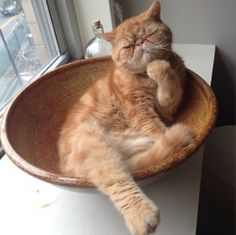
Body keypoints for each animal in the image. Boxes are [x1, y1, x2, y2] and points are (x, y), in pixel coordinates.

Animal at [58, 0, 195, 234]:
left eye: (149, 35)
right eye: (128, 47)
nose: (140, 44)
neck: (146, 79)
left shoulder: (167, 107)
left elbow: (170, 85)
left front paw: (160, 68)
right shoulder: (140, 113)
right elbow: (157, 130)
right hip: (91, 141)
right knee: (119, 182)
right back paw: (141, 215)